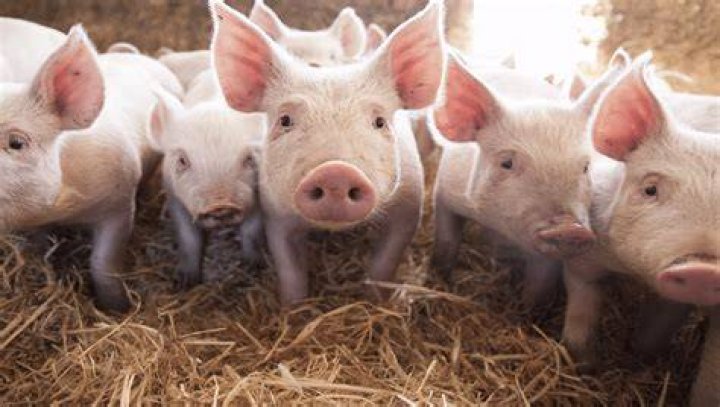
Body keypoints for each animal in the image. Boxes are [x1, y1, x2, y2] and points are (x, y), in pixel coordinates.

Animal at [0, 26, 179, 312]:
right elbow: (40, 247)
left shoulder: (119, 202)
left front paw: (117, 307)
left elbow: (102, 262)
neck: (62, 210)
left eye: (16, 143)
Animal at [146, 72, 265, 288]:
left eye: (249, 158)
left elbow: (251, 232)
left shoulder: (258, 197)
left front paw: (254, 267)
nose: (220, 204)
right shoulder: (175, 199)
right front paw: (184, 282)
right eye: (182, 160)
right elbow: (188, 238)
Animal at [210, 0, 445, 304]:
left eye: (379, 121)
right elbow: (290, 269)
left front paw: (375, 301)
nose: (336, 172)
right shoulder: (276, 213)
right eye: (285, 120)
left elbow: (385, 262)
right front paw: (293, 308)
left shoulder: (408, 206)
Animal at [430, 50, 629, 307]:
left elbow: (540, 283)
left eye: (585, 167)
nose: (571, 228)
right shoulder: (445, 190)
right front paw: (440, 279)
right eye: (507, 163)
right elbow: (446, 243)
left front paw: (528, 310)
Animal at [559, 54, 719, 388]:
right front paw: (584, 364)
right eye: (650, 189)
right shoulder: (585, 250)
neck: (634, 273)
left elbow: (657, 329)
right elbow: (581, 304)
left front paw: (636, 359)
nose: (704, 269)